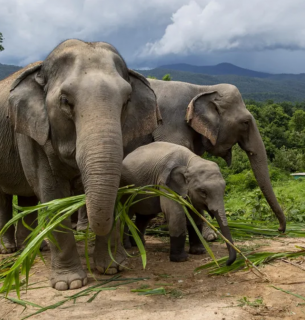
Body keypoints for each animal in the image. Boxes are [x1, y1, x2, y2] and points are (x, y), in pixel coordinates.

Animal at [0, 39, 160, 290]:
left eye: (126, 101)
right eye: (65, 101)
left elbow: (115, 187)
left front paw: (112, 268)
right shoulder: (31, 133)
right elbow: (53, 196)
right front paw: (70, 283)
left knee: (27, 200)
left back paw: (36, 249)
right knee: (5, 199)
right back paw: (9, 250)